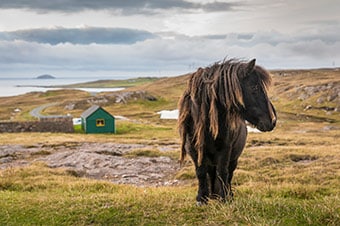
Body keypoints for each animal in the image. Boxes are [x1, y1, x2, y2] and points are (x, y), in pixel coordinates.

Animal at [178, 58, 276, 205]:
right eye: (254, 87)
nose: (273, 120)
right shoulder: (194, 149)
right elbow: (200, 172)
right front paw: (202, 199)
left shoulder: (225, 149)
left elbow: (222, 172)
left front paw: (224, 198)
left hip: (233, 157)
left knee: (229, 173)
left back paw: (227, 194)